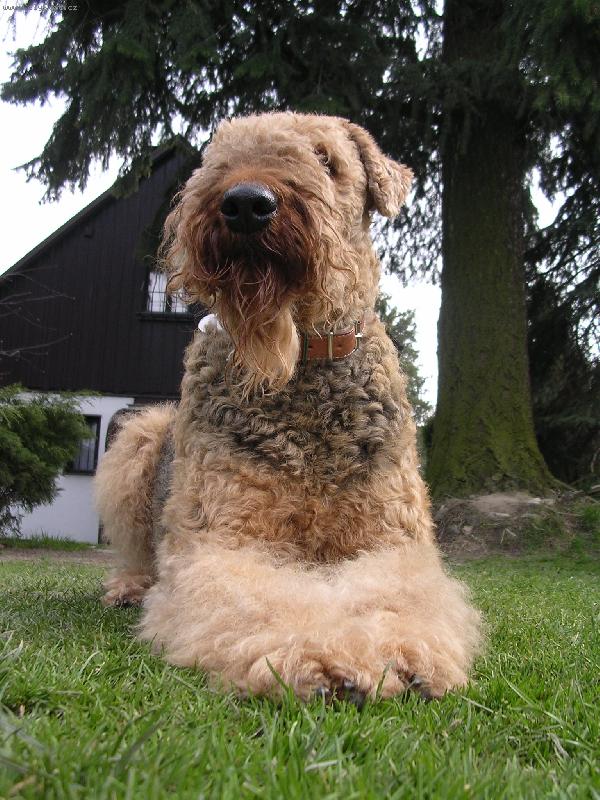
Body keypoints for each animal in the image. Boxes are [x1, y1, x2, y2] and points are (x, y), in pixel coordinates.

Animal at [96, 112, 481, 703]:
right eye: (217, 155)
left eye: (327, 159)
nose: (246, 203)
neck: (300, 364)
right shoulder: (225, 542)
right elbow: (262, 600)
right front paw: (319, 656)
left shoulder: (391, 544)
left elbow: (398, 594)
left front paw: (403, 650)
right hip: (139, 440)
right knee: (138, 548)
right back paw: (129, 586)